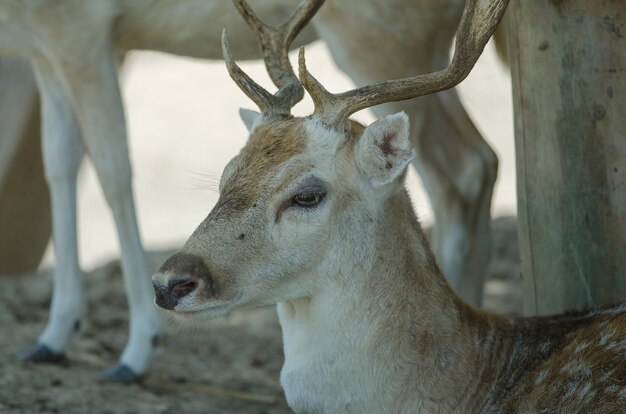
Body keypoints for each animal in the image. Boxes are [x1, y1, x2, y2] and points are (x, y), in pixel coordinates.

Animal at [0, 0, 494, 382]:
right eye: (224, 175)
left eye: (307, 196)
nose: (168, 285)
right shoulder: (42, 47)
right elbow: (58, 162)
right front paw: (50, 338)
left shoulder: (80, 29)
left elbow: (113, 172)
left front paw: (135, 352)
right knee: (483, 160)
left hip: (384, 37)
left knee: (461, 168)